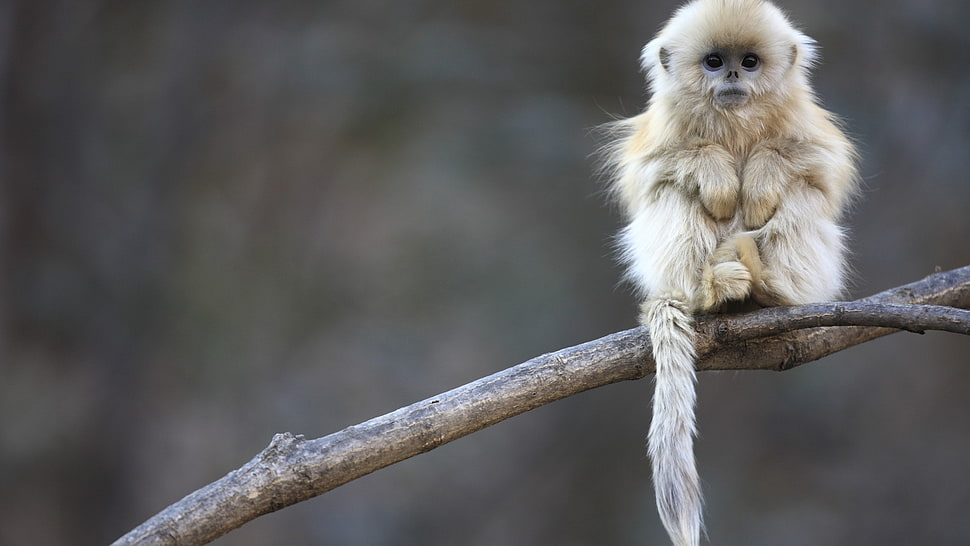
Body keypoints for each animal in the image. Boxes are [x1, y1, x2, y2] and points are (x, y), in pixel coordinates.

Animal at [602, 1, 858, 544]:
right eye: (715, 61)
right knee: (674, 192)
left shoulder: (807, 124)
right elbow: (652, 172)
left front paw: (759, 179)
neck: (735, 119)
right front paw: (718, 176)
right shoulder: (662, 132)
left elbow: (821, 167)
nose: (735, 75)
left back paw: (769, 289)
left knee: (801, 194)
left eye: (751, 62)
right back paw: (712, 291)